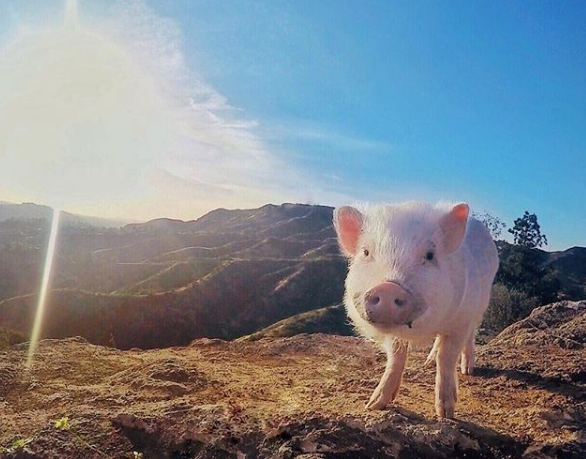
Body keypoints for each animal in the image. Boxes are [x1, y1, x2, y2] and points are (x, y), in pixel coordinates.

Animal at [334, 203, 498, 418]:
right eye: (366, 252)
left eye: (429, 255)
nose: (387, 288)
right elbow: (396, 356)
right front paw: (374, 405)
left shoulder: (460, 319)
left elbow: (447, 357)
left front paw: (445, 413)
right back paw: (428, 363)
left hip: (481, 302)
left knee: (470, 335)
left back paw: (467, 370)